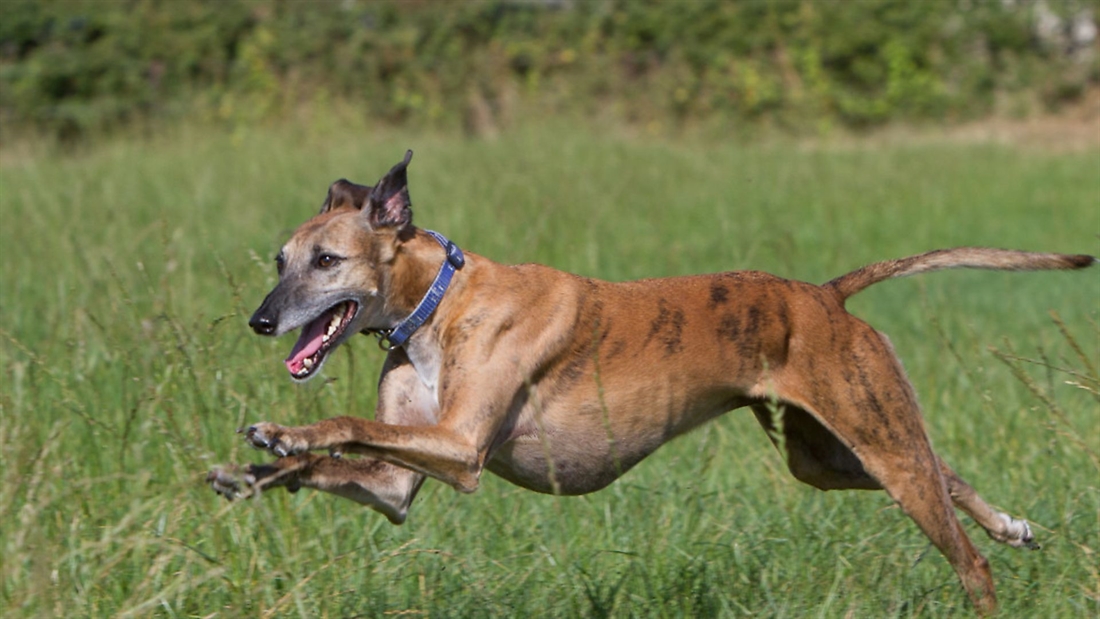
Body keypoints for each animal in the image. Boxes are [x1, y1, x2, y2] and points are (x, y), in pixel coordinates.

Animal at [206, 150, 1091, 615]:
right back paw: (1012, 524)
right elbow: (346, 467)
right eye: (280, 259)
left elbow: (345, 425)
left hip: (870, 435)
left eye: (328, 260)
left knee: (966, 556)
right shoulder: (397, 483)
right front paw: (250, 471)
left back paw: (989, 560)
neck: (437, 300)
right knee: (942, 470)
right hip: (832, 451)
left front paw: (282, 432)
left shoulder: (459, 447)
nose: (260, 320)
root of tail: (825, 294)